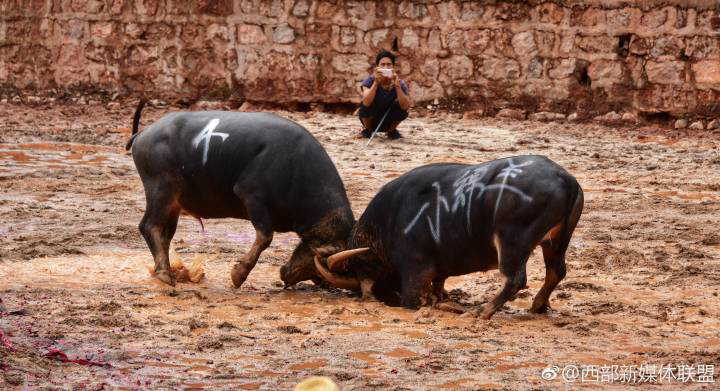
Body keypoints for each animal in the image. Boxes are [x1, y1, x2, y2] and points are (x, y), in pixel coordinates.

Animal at [129, 101, 358, 288]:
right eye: (326, 260)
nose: (326, 284)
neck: (295, 167)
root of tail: (142, 134)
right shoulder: (252, 196)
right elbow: (265, 237)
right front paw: (238, 275)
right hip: (161, 190)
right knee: (149, 226)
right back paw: (164, 274)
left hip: (174, 203)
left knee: (165, 233)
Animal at [312, 155, 584, 320]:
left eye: (361, 268)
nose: (383, 296)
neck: (388, 222)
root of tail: (565, 179)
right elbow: (439, 284)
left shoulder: (414, 272)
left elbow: (414, 299)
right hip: (556, 241)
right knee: (556, 271)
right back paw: (538, 305)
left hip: (512, 243)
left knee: (516, 279)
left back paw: (482, 311)